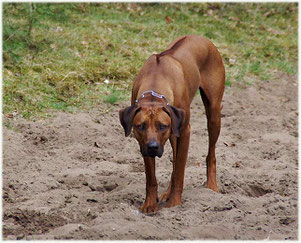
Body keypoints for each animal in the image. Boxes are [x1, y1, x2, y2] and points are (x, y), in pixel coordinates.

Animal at [118, 34, 224, 213]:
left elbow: (180, 171)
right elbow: (151, 177)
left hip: (213, 114)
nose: (153, 147)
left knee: (211, 154)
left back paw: (211, 186)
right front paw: (150, 204)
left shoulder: (184, 131)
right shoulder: (143, 142)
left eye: (162, 126)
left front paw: (174, 203)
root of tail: (200, 36)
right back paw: (167, 192)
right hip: (174, 134)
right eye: (141, 126)